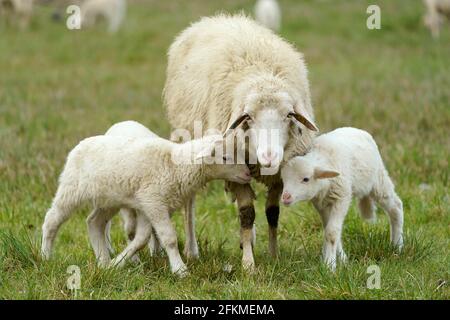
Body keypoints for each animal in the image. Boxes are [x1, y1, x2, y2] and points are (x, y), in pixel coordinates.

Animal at [163, 14, 318, 270]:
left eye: (289, 115)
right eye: (248, 117)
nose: (269, 156)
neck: (262, 73)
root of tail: (216, 19)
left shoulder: (277, 173)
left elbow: (272, 213)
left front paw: (273, 255)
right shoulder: (235, 168)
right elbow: (247, 213)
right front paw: (248, 265)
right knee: (190, 202)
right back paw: (193, 250)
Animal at [282, 127, 404, 270]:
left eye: (306, 179)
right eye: (283, 179)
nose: (285, 197)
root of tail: (356, 129)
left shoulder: (342, 197)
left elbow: (331, 232)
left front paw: (329, 266)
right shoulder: (321, 204)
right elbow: (329, 230)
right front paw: (340, 259)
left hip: (378, 179)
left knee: (396, 206)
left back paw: (397, 246)